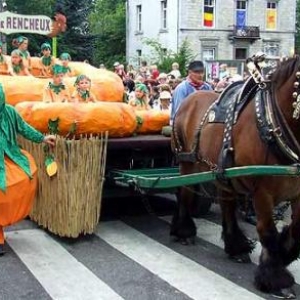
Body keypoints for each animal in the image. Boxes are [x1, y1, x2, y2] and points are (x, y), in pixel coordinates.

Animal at [172, 55, 300, 298]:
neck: (271, 123)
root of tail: (189, 98)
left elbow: (297, 230)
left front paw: (282, 256)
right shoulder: (262, 191)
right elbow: (267, 231)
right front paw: (275, 278)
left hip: (221, 170)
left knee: (227, 203)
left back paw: (235, 246)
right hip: (187, 161)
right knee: (184, 193)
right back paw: (183, 232)